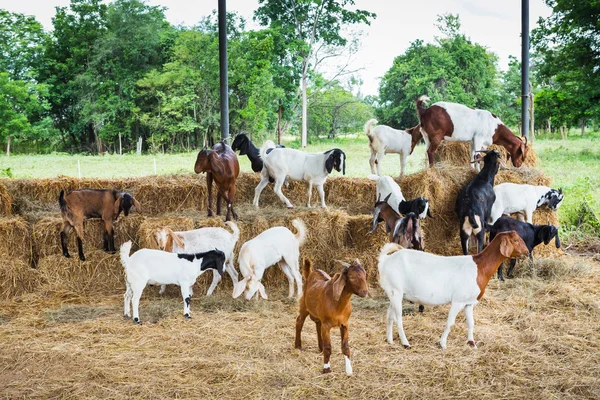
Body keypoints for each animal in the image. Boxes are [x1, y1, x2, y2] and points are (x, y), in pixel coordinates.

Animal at [378, 231, 528, 350]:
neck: (479, 267)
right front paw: (443, 343)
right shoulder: (458, 301)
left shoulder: (469, 303)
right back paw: (406, 343)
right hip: (396, 291)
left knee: (389, 315)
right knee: (398, 318)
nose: (527, 251)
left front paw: (472, 343)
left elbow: (471, 323)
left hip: (393, 292)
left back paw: (390, 340)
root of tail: (385, 260)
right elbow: (450, 323)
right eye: (515, 240)